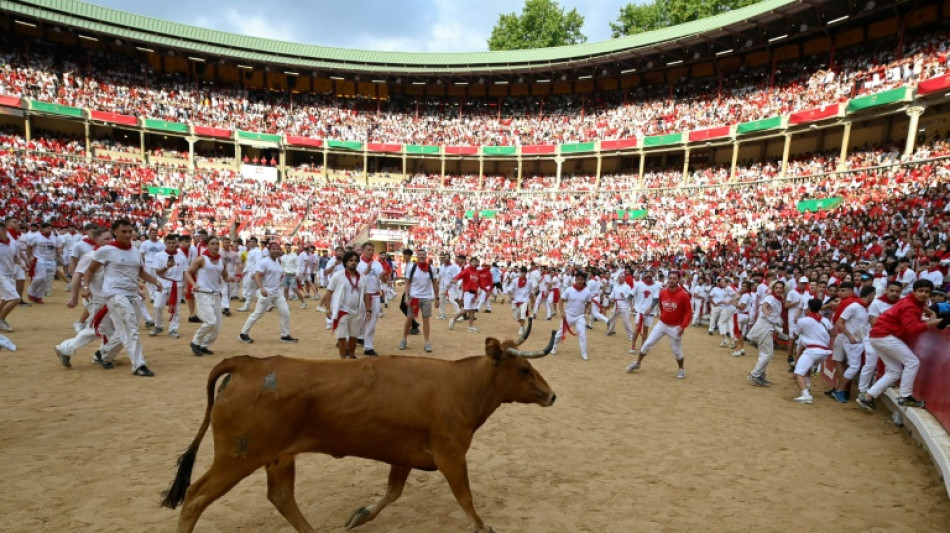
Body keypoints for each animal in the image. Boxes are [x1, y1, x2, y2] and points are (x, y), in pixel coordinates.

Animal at [164, 320, 556, 532]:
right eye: (524, 369)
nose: (551, 395)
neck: (461, 385)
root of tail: (250, 364)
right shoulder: (450, 455)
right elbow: (465, 497)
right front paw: (483, 525)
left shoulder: (405, 455)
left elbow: (392, 493)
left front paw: (359, 515)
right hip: (238, 456)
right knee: (195, 498)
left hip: (277, 457)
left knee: (281, 497)